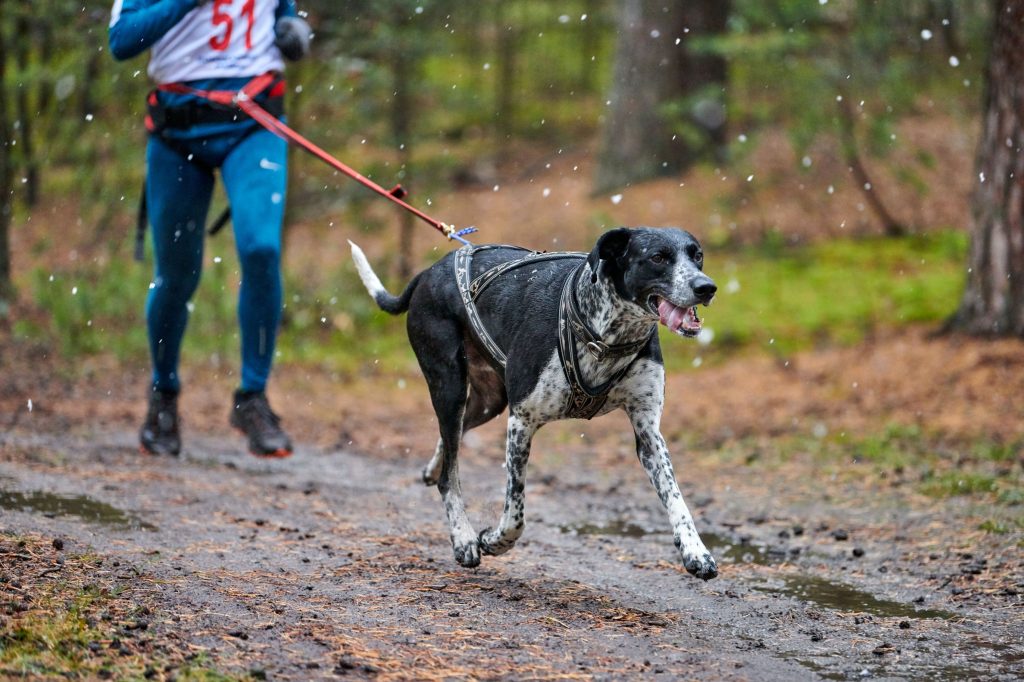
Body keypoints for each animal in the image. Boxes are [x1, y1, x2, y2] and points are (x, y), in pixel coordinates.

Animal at [352, 225, 720, 577]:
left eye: (697, 255)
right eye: (658, 257)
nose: (707, 287)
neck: (607, 337)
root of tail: (427, 273)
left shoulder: (647, 431)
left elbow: (677, 498)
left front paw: (695, 551)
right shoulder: (522, 421)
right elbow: (515, 513)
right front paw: (493, 541)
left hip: (488, 401)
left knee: (451, 438)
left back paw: (433, 468)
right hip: (449, 386)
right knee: (450, 473)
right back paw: (463, 538)